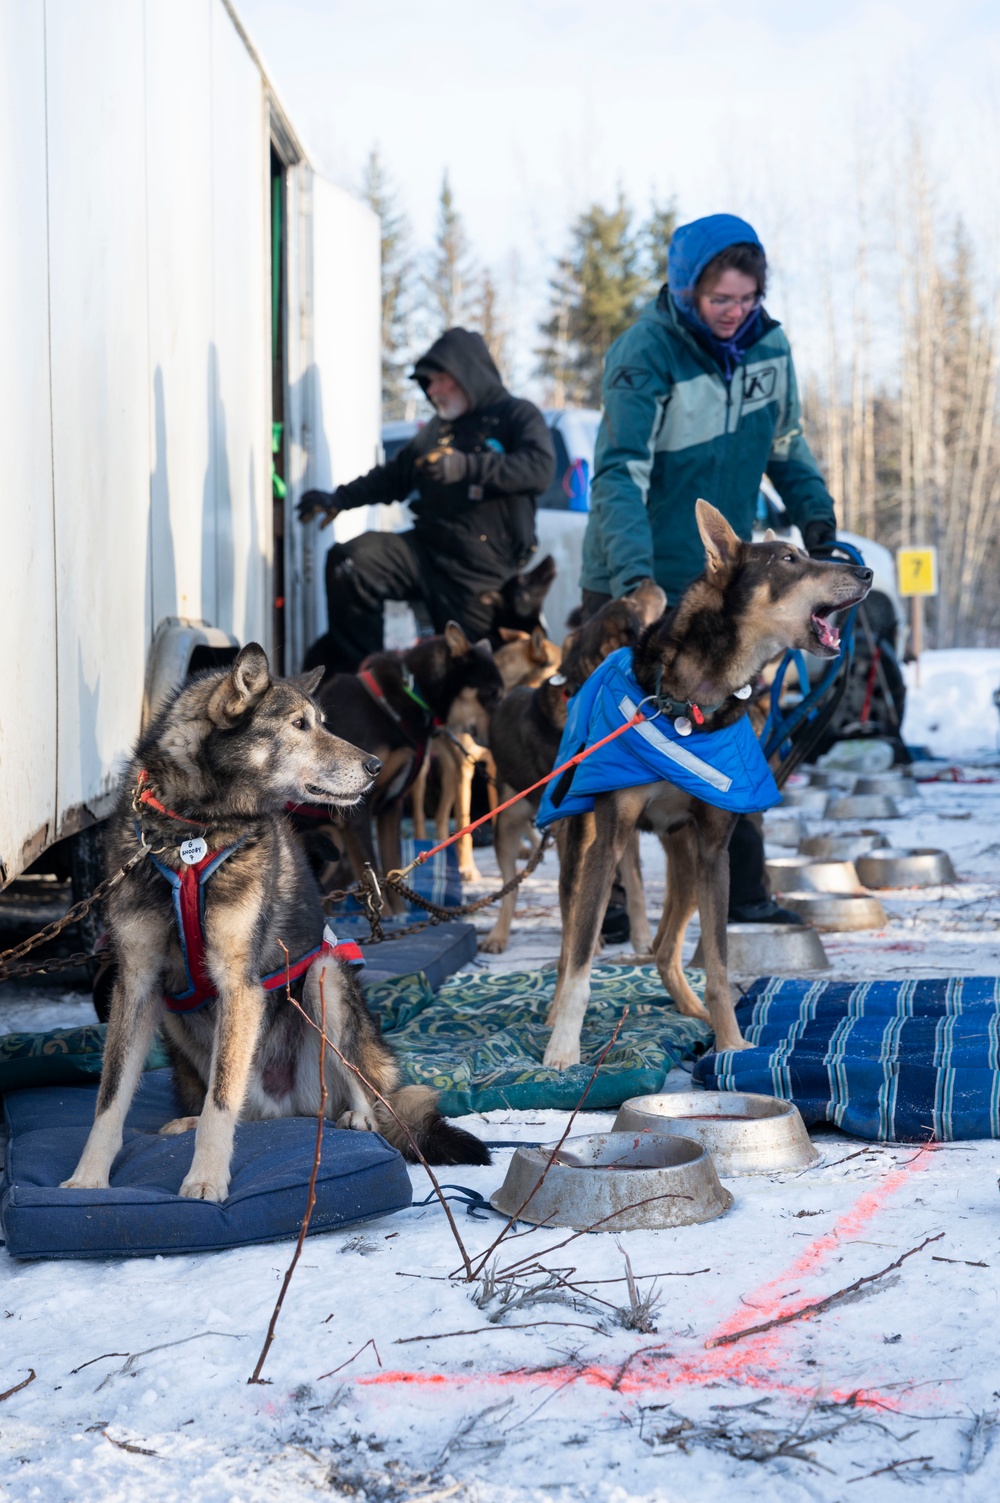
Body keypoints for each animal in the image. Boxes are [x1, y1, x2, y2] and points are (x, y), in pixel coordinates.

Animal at [60, 640, 490, 1202]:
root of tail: (285, 1105)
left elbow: (221, 1100)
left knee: (360, 1096)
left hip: (326, 980)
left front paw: (205, 1178)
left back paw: (360, 1118)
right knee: (238, 1105)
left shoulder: (238, 983)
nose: (374, 765)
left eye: (322, 722)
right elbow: (111, 1096)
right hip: (175, 1013)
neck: (193, 834)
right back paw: (190, 1122)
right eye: (299, 724)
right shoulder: (136, 982)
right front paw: (88, 1177)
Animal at [535, 502, 872, 1070]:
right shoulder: (609, 843)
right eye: (788, 559)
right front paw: (563, 1048)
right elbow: (580, 963)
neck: (689, 705)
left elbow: (717, 963)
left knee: (665, 948)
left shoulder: (716, 849)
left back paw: (690, 1010)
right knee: (567, 945)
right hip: (579, 855)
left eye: (808, 551)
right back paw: (557, 1013)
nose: (867, 572)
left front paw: (731, 1042)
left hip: (690, 864)